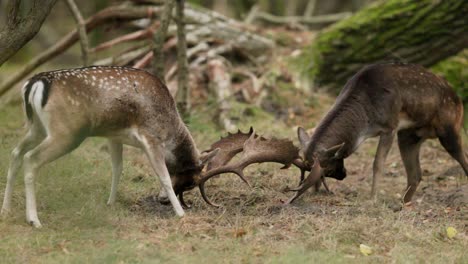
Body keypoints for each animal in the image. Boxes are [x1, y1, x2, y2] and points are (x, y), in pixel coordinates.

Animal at [0, 66, 220, 227]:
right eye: (191, 183)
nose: (163, 200)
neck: (169, 130)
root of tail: (34, 84)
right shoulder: (150, 136)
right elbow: (163, 175)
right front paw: (180, 214)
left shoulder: (115, 137)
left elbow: (117, 168)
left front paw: (110, 202)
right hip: (66, 132)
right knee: (30, 158)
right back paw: (34, 220)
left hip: (37, 127)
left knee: (15, 153)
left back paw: (6, 210)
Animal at [284, 62, 466, 204]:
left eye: (328, 168)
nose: (344, 174)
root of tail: (458, 98)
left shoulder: (390, 126)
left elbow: (377, 164)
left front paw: (372, 198)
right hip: (409, 135)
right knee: (416, 175)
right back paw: (402, 204)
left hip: (450, 128)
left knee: (463, 159)